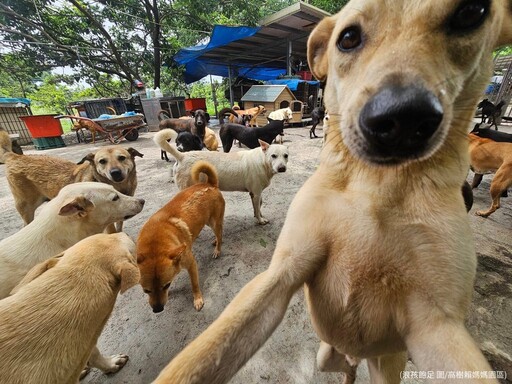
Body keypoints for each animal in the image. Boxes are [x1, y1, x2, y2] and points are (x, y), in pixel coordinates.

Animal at [2, 146, 143, 226]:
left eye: (122, 158)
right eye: (102, 161)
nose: (115, 172)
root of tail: (15, 157)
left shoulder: (122, 211)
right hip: (25, 208)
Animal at [136, 160, 224, 314]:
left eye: (166, 285)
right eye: (146, 290)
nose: (158, 309)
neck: (155, 242)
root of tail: (209, 184)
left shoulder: (191, 264)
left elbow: (194, 284)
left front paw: (197, 299)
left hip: (213, 221)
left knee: (220, 233)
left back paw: (217, 249)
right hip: (207, 220)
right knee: (219, 232)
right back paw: (215, 241)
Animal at [154, 129, 288, 225]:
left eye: (286, 155)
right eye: (273, 156)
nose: (282, 168)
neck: (262, 160)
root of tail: (182, 156)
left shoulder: (255, 193)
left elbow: (258, 206)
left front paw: (258, 216)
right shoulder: (256, 193)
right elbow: (257, 208)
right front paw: (260, 220)